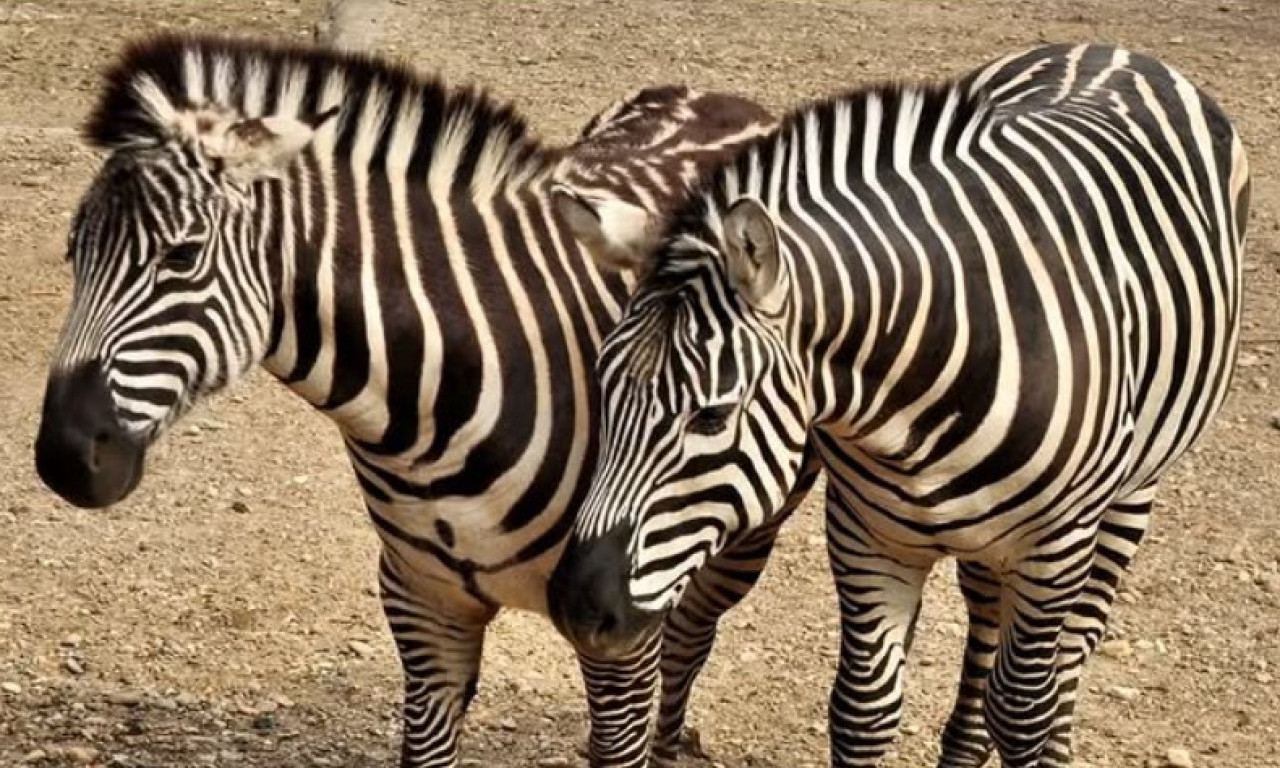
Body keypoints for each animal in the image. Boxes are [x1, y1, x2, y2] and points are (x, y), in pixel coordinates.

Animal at [30, 34, 780, 768]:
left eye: (181, 257)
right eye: (71, 253)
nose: (64, 457)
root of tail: (721, 94)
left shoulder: (616, 631)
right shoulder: (424, 608)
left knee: (692, 636)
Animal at [547, 43, 1250, 768]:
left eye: (711, 415)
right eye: (600, 385)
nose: (577, 608)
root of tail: (1108, 51)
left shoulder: (1052, 548)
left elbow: (1023, 709)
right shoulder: (868, 538)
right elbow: (864, 710)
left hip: (1128, 496)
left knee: (1075, 647)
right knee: (986, 619)